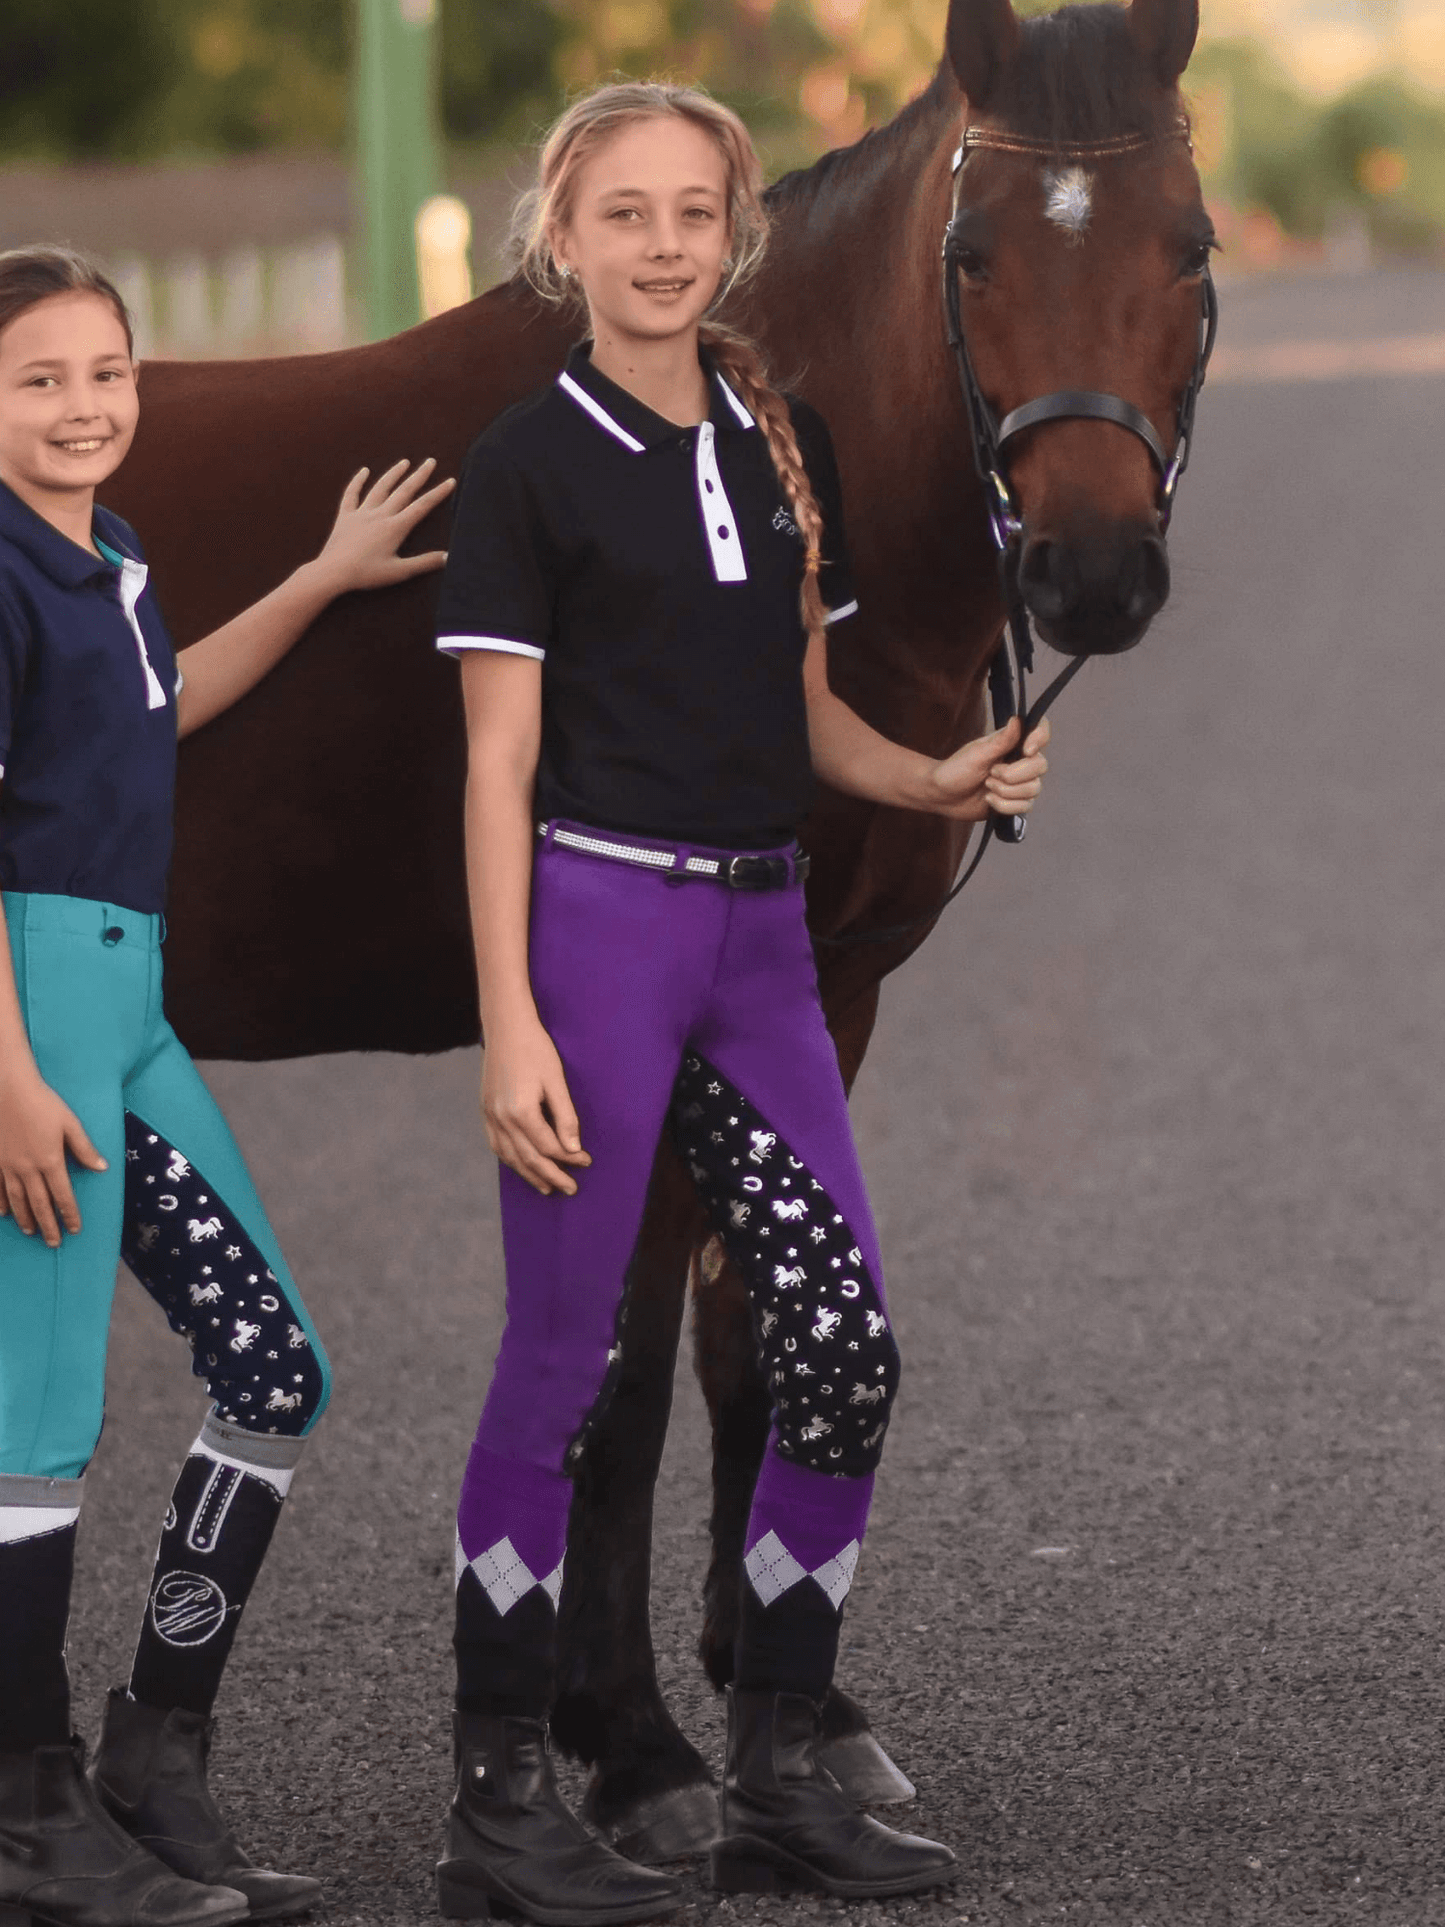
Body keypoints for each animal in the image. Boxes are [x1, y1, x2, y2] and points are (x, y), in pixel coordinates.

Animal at [102, 0, 1217, 1857]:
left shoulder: (826, 990)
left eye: (1187, 249)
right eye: (973, 256)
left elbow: (753, 1335)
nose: (1092, 574)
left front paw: (801, 1713)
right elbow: (619, 1384)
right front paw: (630, 1744)